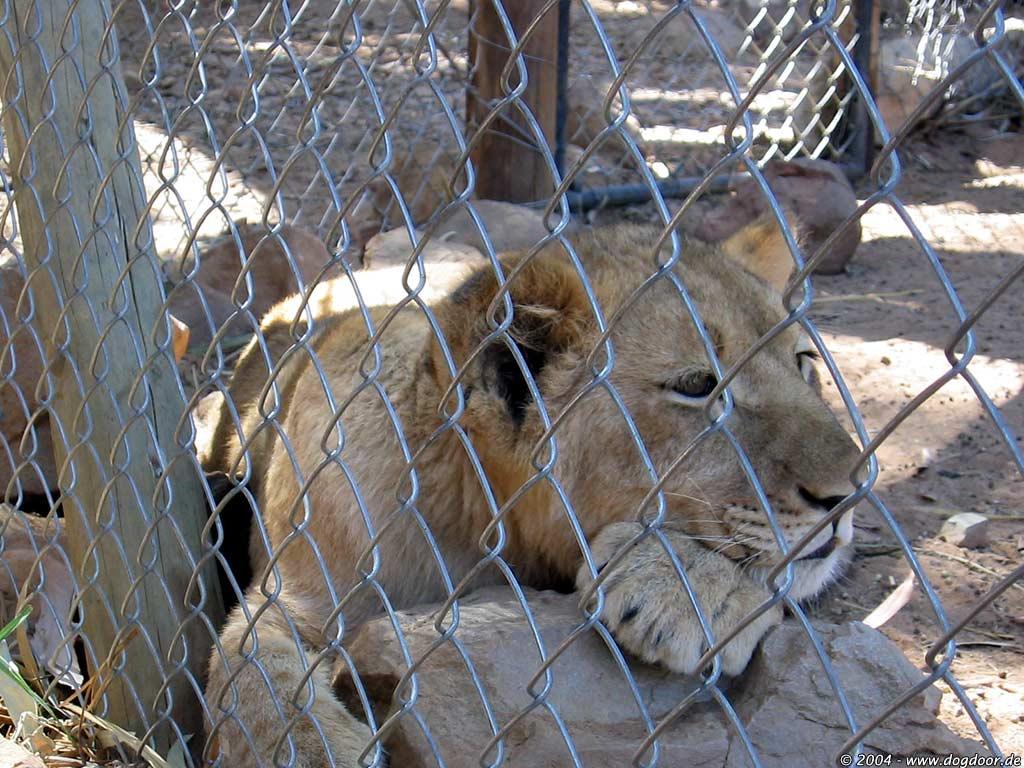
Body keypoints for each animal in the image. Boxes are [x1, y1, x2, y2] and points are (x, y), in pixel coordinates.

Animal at [203, 218, 861, 767]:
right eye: (699, 386)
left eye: (804, 363)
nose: (853, 489)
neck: (473, 519)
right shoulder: (290, 596)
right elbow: (251, 680)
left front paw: (692, 587)